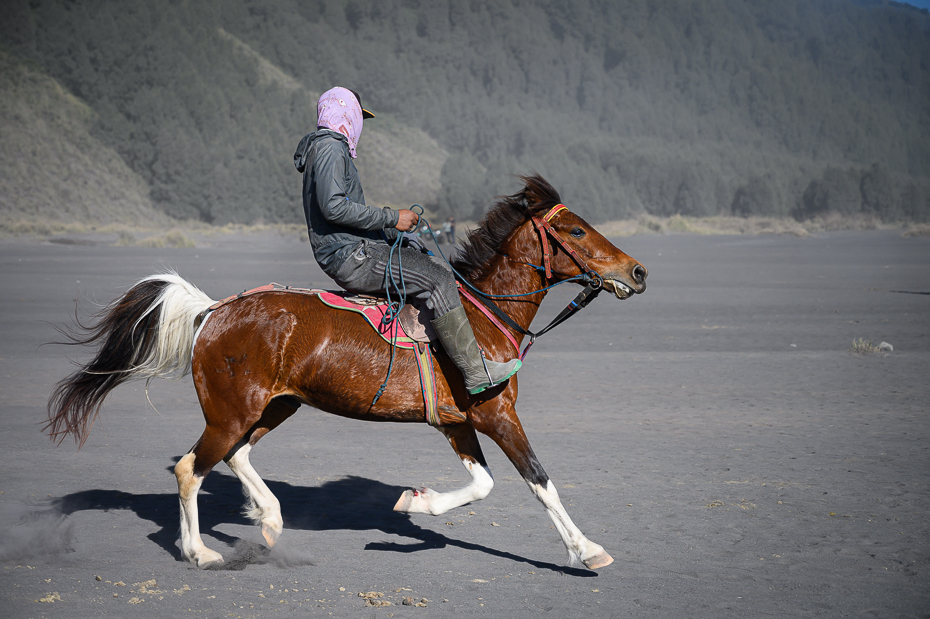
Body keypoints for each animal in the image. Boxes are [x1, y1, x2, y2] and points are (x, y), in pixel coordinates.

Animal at [47, 174, 644, 572]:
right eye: (576, 231)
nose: (637, 271)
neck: (481, 316)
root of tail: (213, 311)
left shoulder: (457, 422)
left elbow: (482, 484)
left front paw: (417, 501)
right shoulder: (497, 413)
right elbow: (540, 482)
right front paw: (587, 550)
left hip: (274, 405)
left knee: (235, 456)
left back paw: (269, 519)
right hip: (232, 411)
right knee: (191, 468)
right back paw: (200, 551)